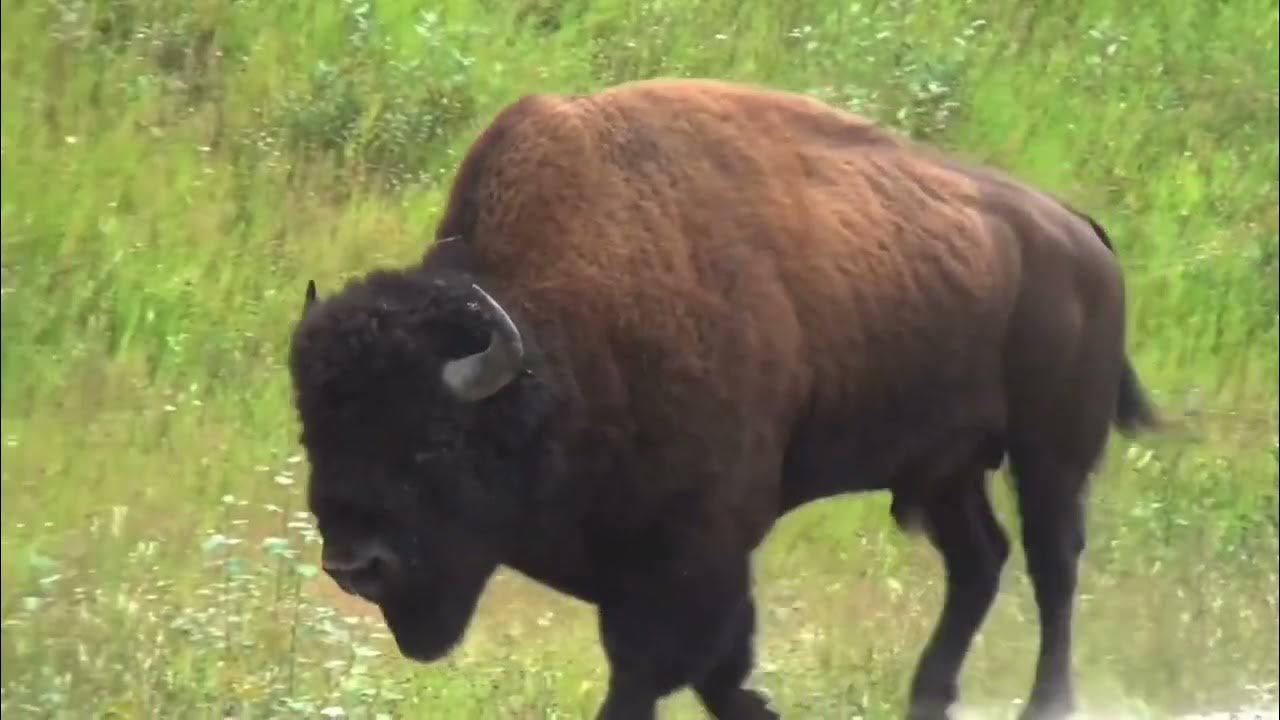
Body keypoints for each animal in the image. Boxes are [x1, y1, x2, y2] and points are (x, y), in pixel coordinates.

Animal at [288, 78, 1158, 720]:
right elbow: (716, 666)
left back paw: (1045, 703)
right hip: (944, 471)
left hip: (1051, 455)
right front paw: (762, 706)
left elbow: (654, 667)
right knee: (980, 562)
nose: (353, 564)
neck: (558, 338)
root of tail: (1080, 233)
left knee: (1053, 568)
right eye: (315, 437)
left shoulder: (691, 548)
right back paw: (926, 697)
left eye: (432, 442)